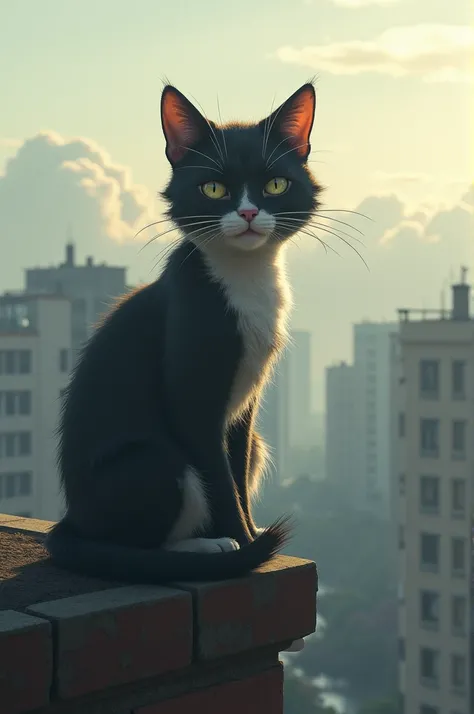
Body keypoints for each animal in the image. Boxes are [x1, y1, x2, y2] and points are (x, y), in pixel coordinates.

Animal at [45, 80, 322, 580]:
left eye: (275, 184)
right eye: (213, 188)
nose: (248, 213)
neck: (244, 278)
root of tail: (70, 520)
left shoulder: (245, 406)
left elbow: (236, 467)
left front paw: (251, 532)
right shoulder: (191, 381)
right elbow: (217, 474)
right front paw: (246, 544)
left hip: (255, 442)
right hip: (149, 465)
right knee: (137, 538)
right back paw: (207, 546)